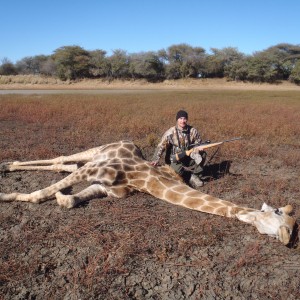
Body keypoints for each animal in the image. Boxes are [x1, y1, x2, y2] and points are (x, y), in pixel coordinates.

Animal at [0, 139, 296, 245]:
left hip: (92, 160)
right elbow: (39, 194)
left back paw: (7, 165)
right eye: (279, 214)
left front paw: (63, 198)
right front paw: (8, 196)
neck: (145, 179)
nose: (287, 240)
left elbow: (71, 200)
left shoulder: (109, 189)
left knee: (65, 164)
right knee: (63, 158)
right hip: (94, 154)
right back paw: (7, 165)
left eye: (293, 228)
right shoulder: (95, 171)